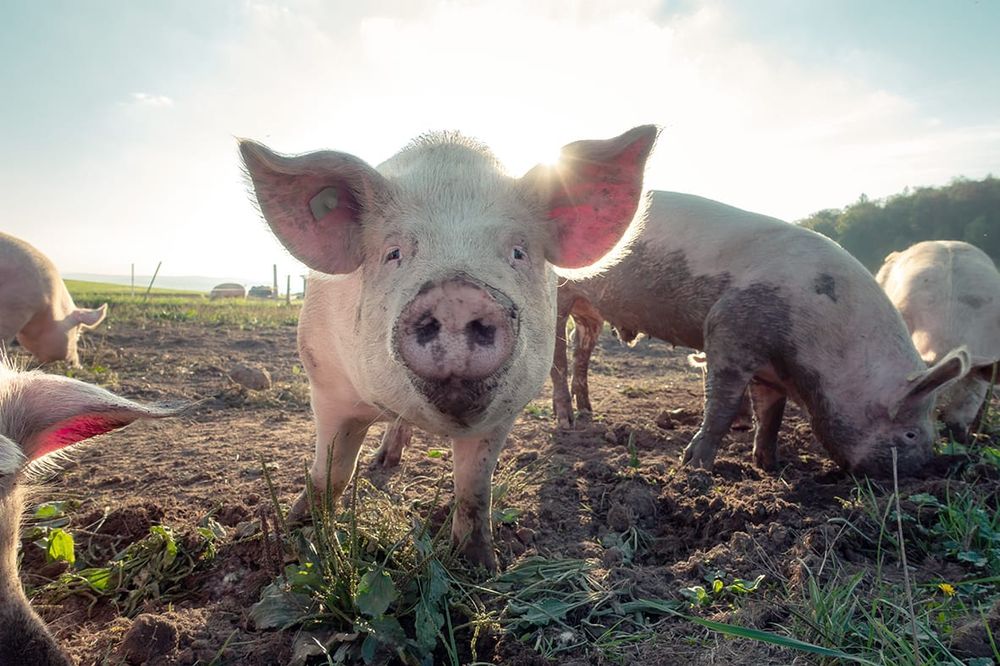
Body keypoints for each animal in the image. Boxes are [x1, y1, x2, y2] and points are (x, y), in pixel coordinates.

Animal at [240, 126, 657, 569]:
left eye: (518, 252)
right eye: (394, 253)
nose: (457, 295)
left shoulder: (505, 411)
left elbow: (474, 488)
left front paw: (480, 566)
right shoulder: (326, 381)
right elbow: (331, 473)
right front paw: (297, 537)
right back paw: (382, 462)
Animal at [546, 191, 969, 476]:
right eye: (911, 434)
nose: (922, 471)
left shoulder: (771, 371)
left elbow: (772, 414)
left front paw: (769, 465)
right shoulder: (728, 330)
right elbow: (721, 403)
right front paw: (694, 468)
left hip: (591, 313)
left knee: (581, 350)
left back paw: (588, 413)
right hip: (559, 296)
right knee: (557, 357)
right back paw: (566, 422)